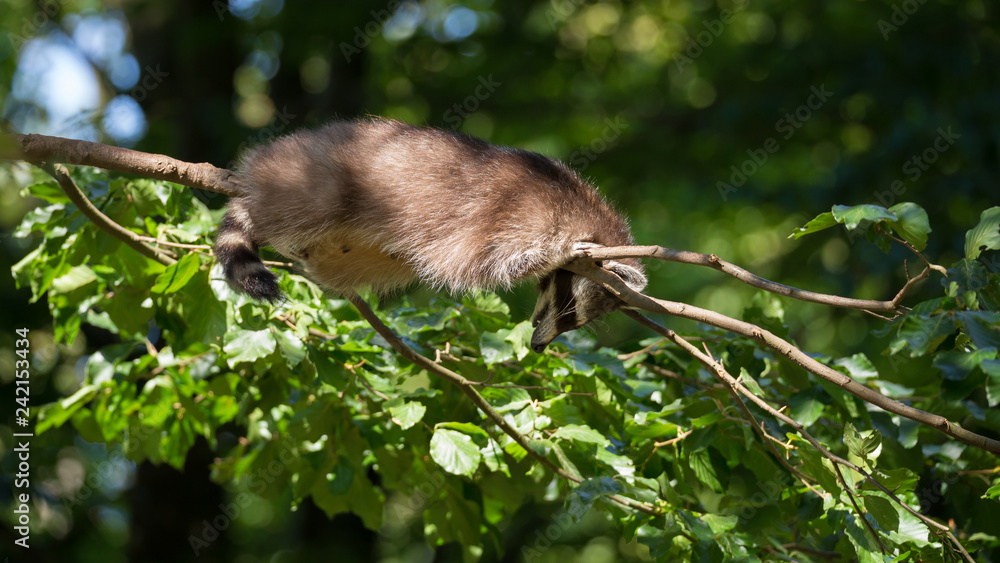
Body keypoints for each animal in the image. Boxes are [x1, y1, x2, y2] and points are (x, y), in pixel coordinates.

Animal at [215, 117, 644, 350]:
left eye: (575, 322)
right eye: (567, 306)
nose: (539, 346)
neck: (585, 214)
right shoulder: (509, 216)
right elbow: (483, 265)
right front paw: (556, 253)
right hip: (312, 177)